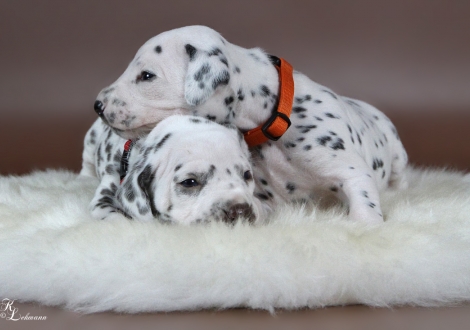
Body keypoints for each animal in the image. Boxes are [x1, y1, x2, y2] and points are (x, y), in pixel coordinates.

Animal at [79, 114, 258, 224]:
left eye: (247, 175)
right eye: (190, 182)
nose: (240, 211)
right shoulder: (103, 199)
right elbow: (116, 218)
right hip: (90, 140)